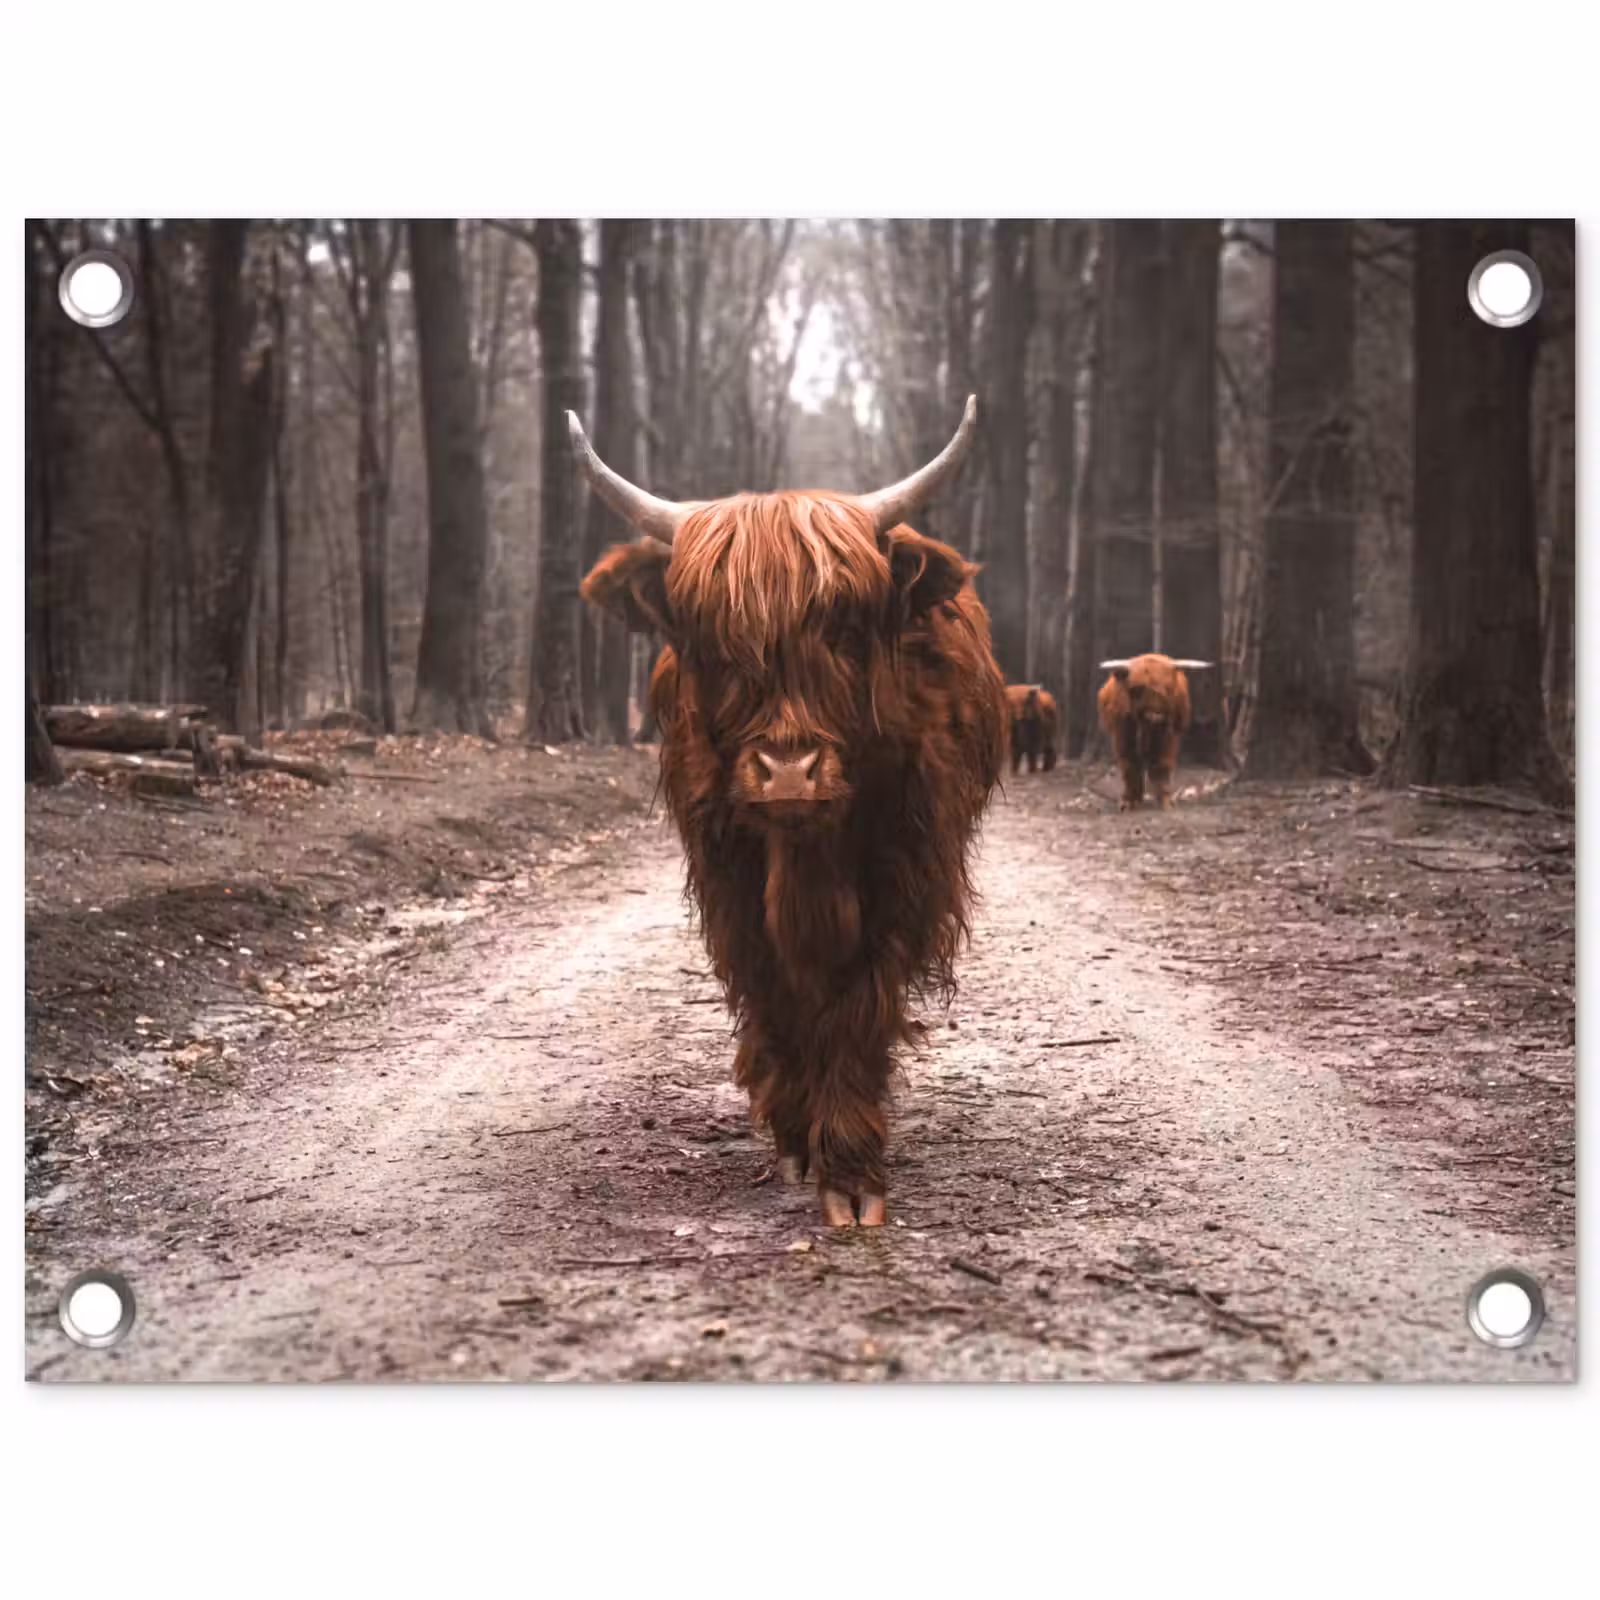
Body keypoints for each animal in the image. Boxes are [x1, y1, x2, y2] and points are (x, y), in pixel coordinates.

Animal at [575, 398, 1007, 1226]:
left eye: (843, 628)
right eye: (713, 641)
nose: (787, 773)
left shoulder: (902, 875)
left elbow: (858, 1003)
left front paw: (851, 1171)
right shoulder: (729, 881)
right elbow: (774, 993)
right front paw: (797, 1136)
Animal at [1096, 653, 1213, 810]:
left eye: (1168, 689)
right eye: (1136, 690)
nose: (1155, 716)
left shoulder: (1167, 737)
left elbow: (1161, 765)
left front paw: (1166, 802)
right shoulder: (1123, 736)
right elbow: (1130, 766)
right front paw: (1128, 802)